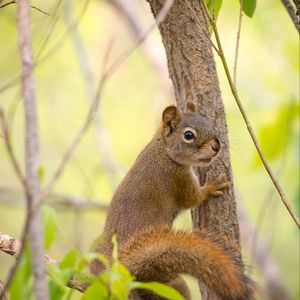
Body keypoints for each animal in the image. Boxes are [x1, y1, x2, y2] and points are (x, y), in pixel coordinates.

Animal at [89, 102, 253, 298]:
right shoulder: (177, 177)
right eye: (188, 135)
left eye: (209, 124)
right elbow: (193, 198)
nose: (217, 146)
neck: (164, 150)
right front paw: (212, 187)